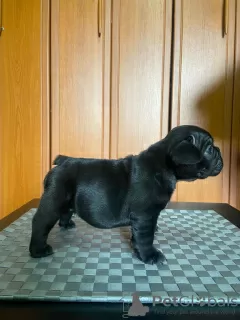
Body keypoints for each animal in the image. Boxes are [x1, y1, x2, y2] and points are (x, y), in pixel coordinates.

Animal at [29, 125, 223, 264]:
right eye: (209, 149)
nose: (220, 151)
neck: (164, 164)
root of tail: (63, 161)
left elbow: (137, 236)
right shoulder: (145, 216)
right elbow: (145, 238)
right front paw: (150, 256)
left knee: (66, 211)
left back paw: (67, 224)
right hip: (54, 199)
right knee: (41, 223)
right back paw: (38, 250)